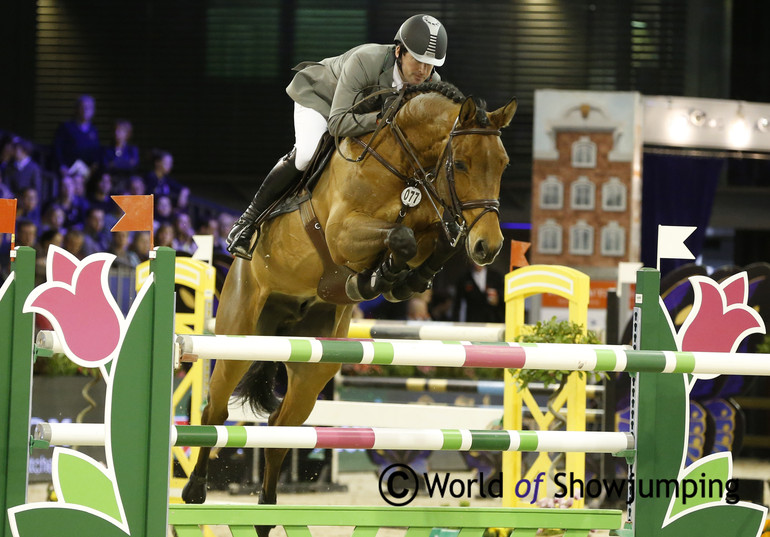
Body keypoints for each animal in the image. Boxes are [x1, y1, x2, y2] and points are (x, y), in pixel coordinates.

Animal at [181, 81, 516, 524]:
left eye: (503, 164)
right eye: (461, 164)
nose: (488, 247)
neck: (403, 164)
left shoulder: (431, 220)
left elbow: (433, 241)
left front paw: (396, 279)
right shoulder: (342, 232)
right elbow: (400, 237)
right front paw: (380, 276)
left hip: (312, 366)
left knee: (280, 428)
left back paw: (268, 512)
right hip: (238, 336)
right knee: (215, 413)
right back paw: (195, 489)